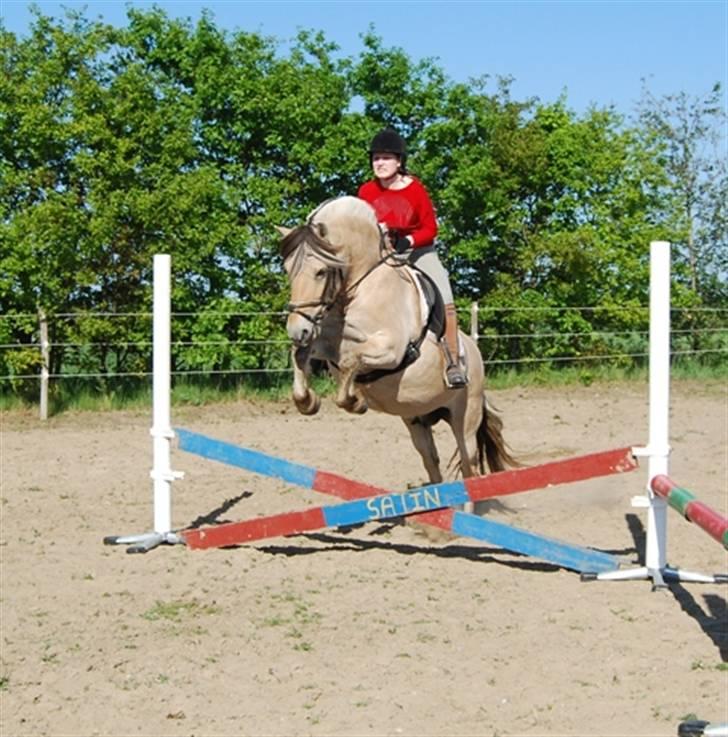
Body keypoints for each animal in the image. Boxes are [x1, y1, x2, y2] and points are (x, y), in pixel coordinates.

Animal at [276, 193, 516, 486]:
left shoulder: (392, 349)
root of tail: (475, 352)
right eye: (287, 269)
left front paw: (356, 402)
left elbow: (352, 361)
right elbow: (302, 355)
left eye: (321, 271)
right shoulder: (325, 341)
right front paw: (308, 401)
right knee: (431, 460)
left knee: (468, 462)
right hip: (417, 419)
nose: (296, 330)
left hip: (465, 417)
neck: (359, 288)